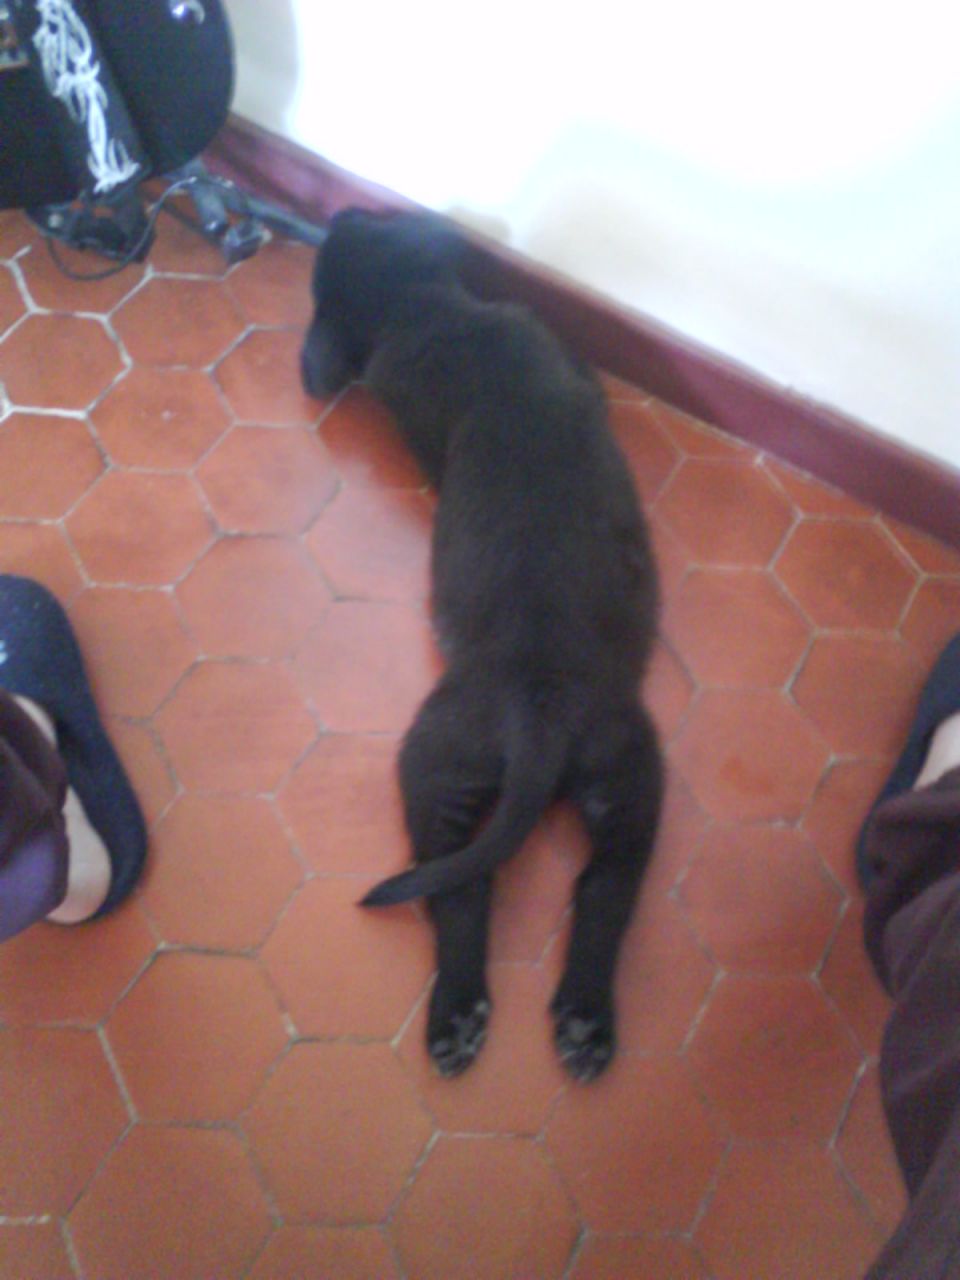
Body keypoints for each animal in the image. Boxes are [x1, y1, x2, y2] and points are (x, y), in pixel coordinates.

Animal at [301, 209, 663, 1081]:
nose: (342, 210)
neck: (427, 307)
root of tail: (540, 712)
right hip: (617, 771)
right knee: (582, 888)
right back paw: (559, 1021)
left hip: (469, 765)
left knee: (488, 891)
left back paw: (485, 1017)